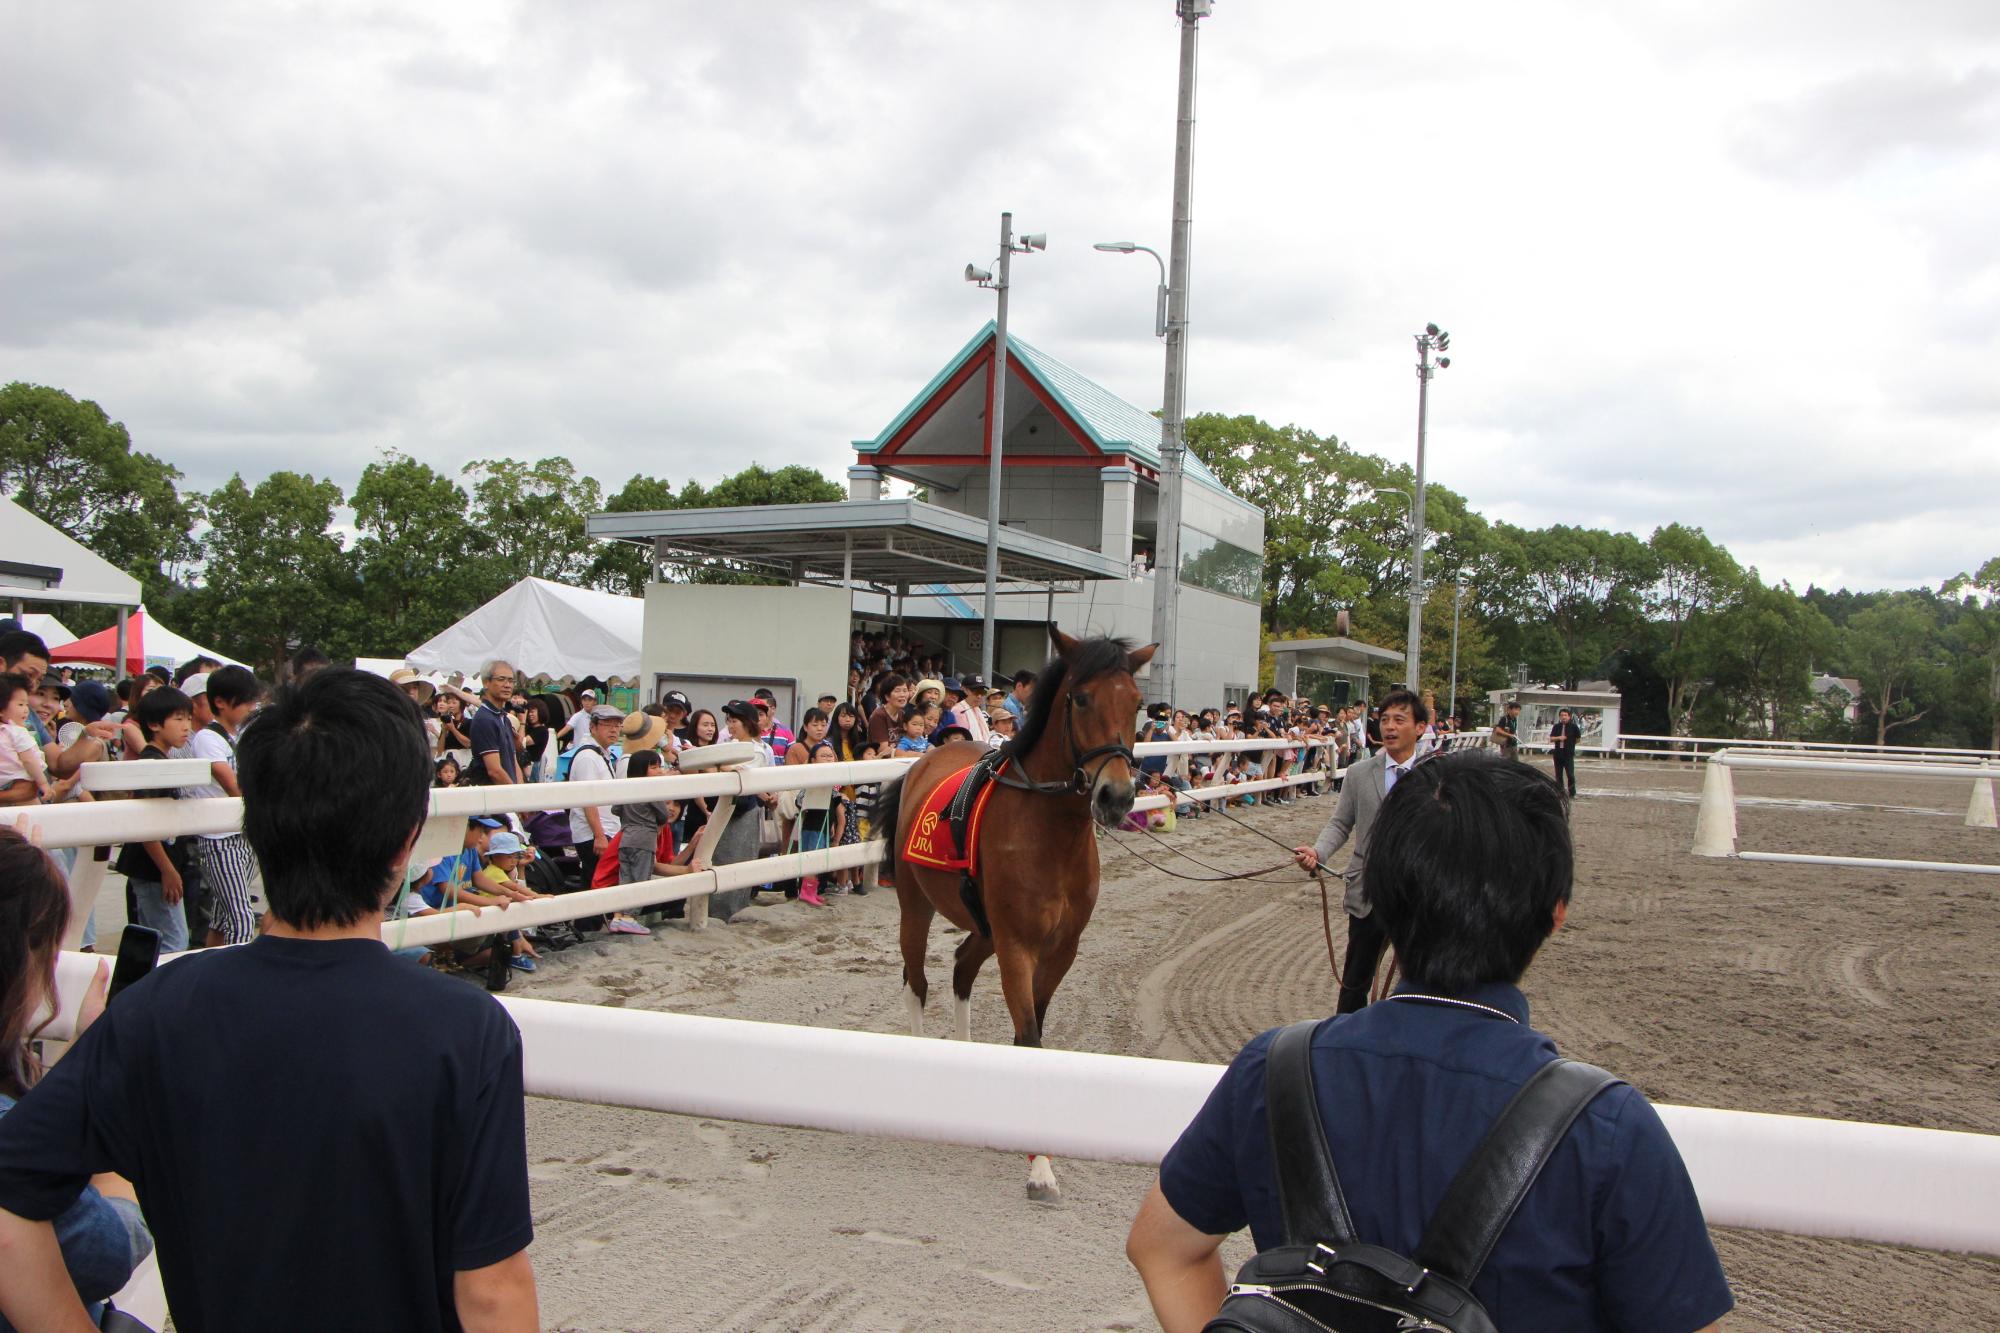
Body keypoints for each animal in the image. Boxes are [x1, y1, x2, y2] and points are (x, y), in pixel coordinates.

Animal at [876, 628, 1160, 1200]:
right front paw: (1040, 1166)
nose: (1117, 796)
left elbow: (1036, 1039)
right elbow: (1029, 1036)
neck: (1049, 831)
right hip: (917, 911)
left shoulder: (1060, 951)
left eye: (1136, 703)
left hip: (983, 928)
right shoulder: (1018, 946)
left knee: (962, 968)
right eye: (1081, 698)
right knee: (917, 981)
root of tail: (921, 764)